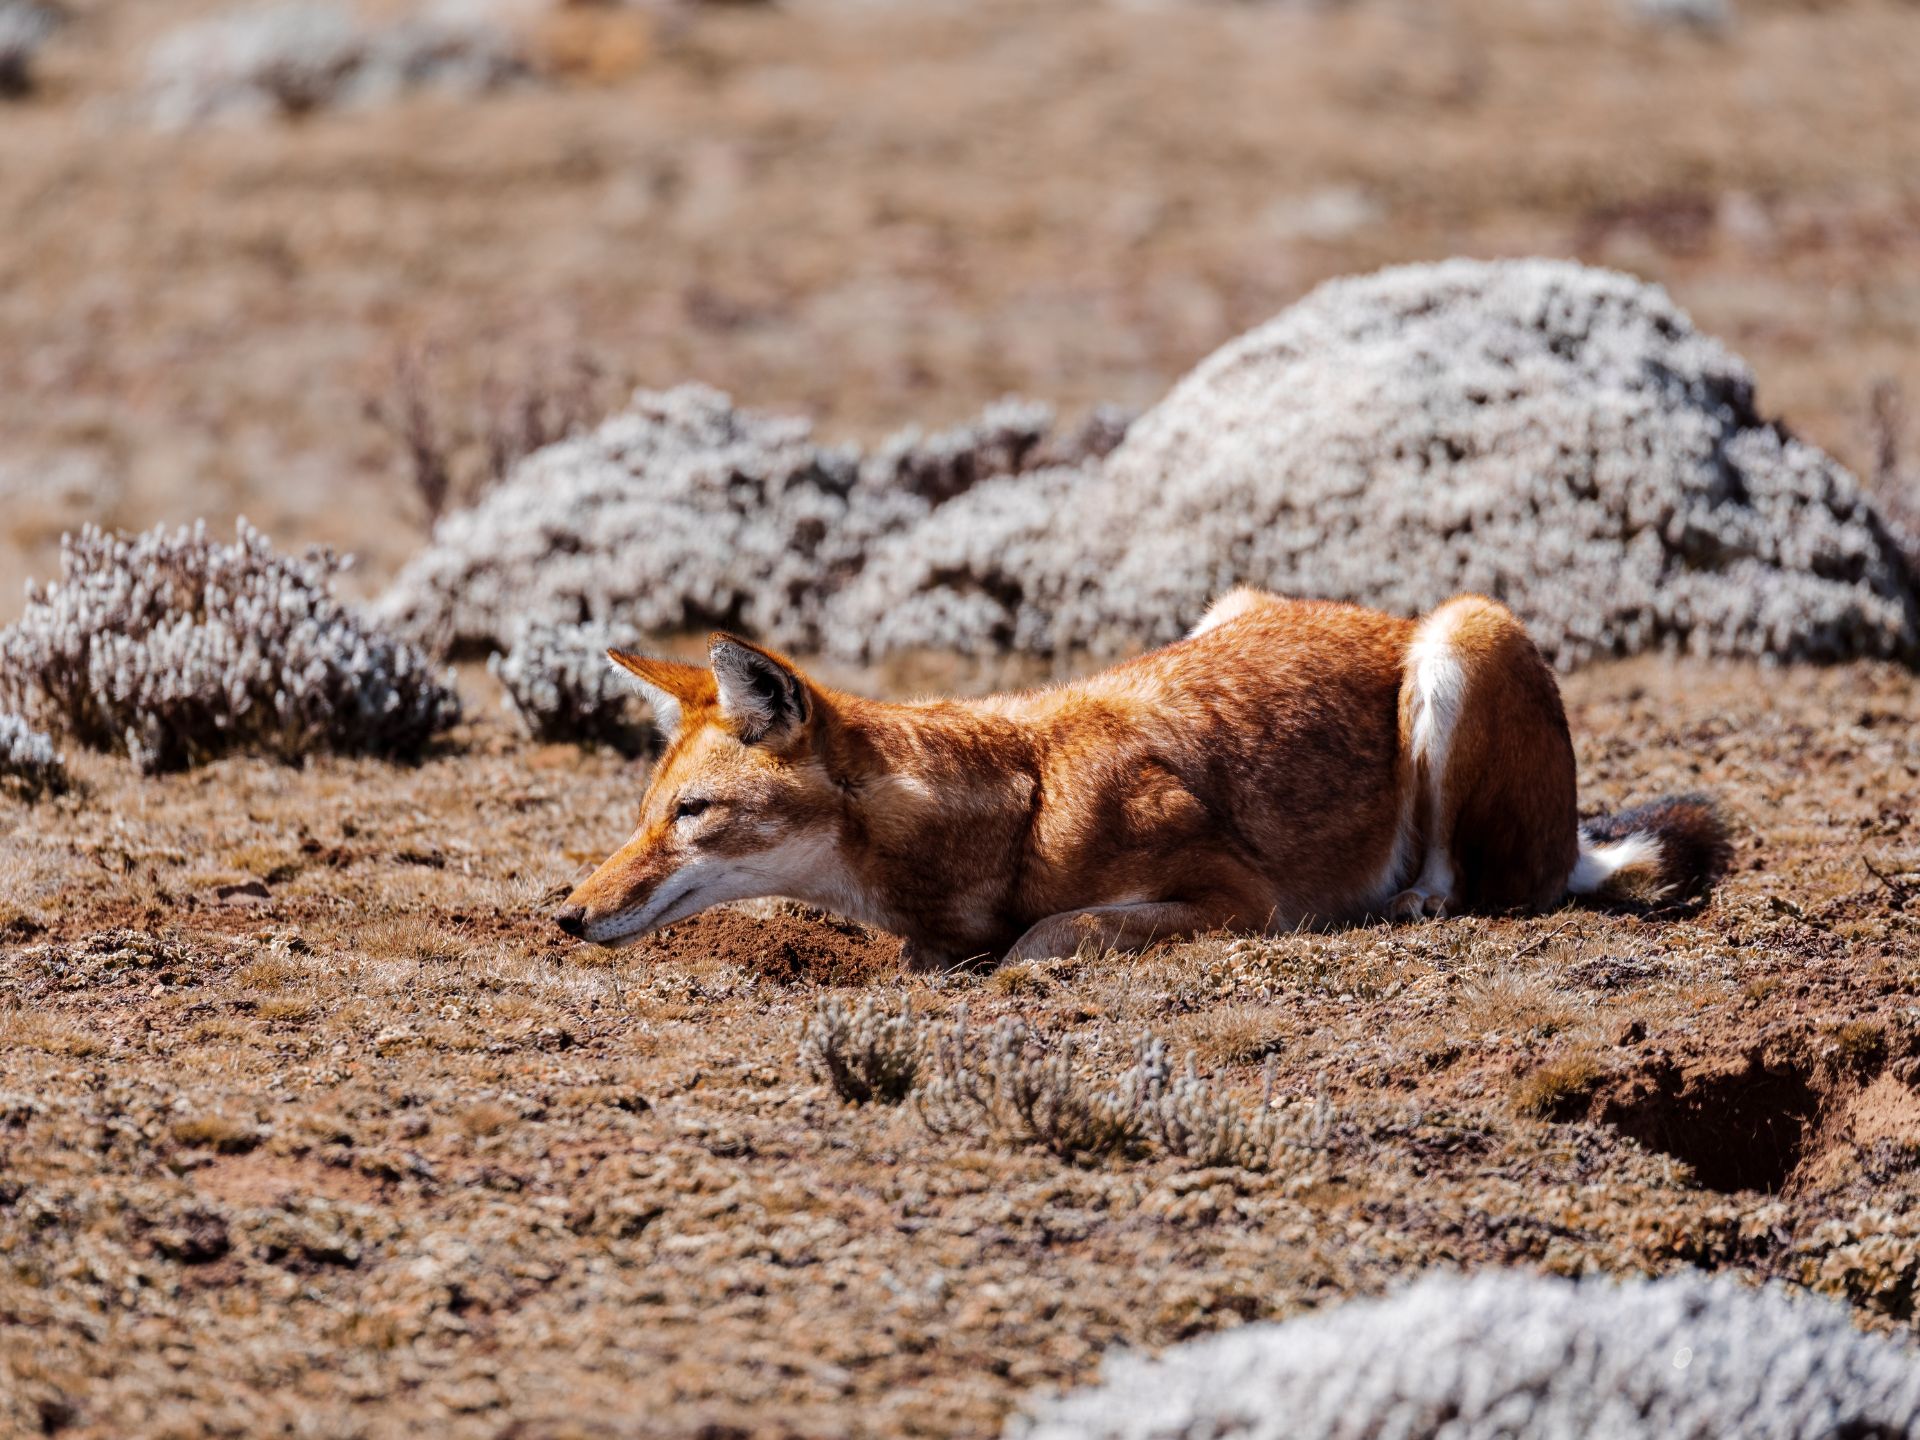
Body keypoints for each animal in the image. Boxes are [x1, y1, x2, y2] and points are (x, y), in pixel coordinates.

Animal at [552, 587, 1728, 971]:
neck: (1012, 810)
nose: (566, 915)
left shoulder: (1240, 897)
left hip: (1460, 638)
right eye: (645, 817)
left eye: (694, 815)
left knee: (1479, 884)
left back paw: (1409, 903)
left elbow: (1044, 936)